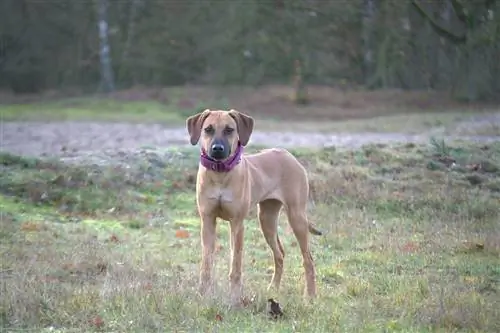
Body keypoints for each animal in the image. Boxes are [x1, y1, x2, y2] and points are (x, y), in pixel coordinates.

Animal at [186, 109, 322, 306]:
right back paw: (273, 288)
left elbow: (235, 265)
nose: (217, 149)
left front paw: (234, 297)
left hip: (296, 217)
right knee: (279, 254)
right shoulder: (207, 221)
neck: (220, 174)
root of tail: (288, 155)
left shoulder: (237, 224)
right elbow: (206, 263)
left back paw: (310, 296)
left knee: (308, 259)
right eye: (208, 129)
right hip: (267, 219)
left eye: (229, 130)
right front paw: (203, 293)